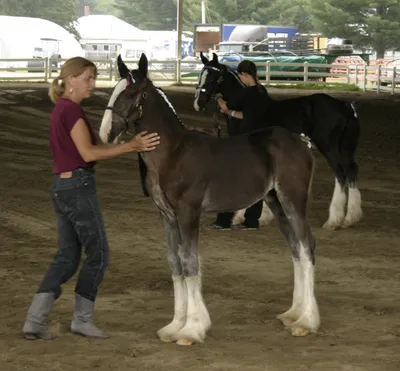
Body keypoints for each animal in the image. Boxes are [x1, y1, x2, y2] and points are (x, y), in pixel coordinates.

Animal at [101, 53, 322, 348]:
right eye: (114, 91)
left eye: (131, 93)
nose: (106, 134)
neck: (173, 153)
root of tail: (302, 141)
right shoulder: (166, 216)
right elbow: (175, 263)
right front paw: (174, 326)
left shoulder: (188, 213)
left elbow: (190, 262)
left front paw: (191, 329)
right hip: (276, 204)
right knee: (296, 249)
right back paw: (293, 313)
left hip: (293, 200)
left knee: (307, 246)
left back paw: (306, 322)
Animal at [194, 52, 362, 231]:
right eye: (201, 74)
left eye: (213, 77)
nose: (198, 103)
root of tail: (346, 107)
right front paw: (264, 217)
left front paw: (241, 217)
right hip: (345, 149)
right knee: (351, 170)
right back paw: (350, 218)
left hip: (329, 147)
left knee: (340, 173)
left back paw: (334, 220)